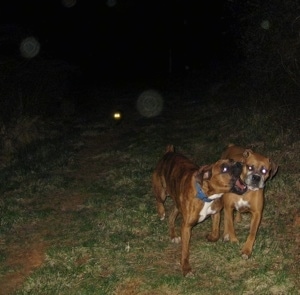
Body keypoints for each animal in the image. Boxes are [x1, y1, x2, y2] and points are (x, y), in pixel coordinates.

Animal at [151, 146, 247, 278]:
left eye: (233, 160)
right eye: (225, 168)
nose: (240, 163)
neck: (205, 194)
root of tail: (169, 152)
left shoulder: (216, 213)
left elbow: (216, 233)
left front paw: (210, 237)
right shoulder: (186, 227)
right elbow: (185, 251)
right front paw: (186, 269)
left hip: (178, 204)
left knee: (171, 218)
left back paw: (173, 236)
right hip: (162, 192)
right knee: (159, 200)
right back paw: (161, 212)